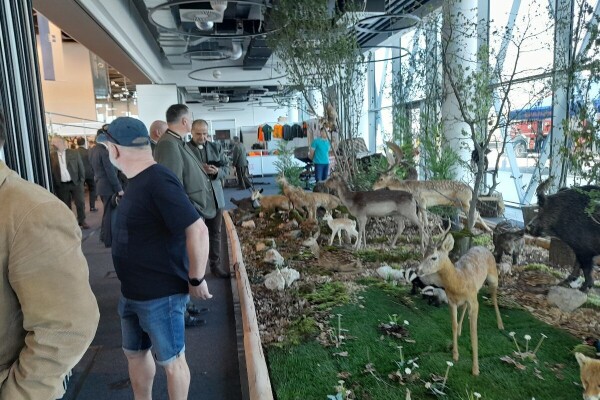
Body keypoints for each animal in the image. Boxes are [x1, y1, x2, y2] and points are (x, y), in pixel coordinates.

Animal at [416, 227, 504, 376]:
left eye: (434, 257)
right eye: (423, 254)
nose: (418, 270)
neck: (459, 281)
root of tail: (484, 247)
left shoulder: (474, 302)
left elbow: (474, 333)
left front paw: (475, 369)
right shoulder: (452, 301)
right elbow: (453, 324)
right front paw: (455, 354)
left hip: (493, 277)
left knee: (493, 295)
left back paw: (500, 324)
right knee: (464, 308)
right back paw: (460, 330)